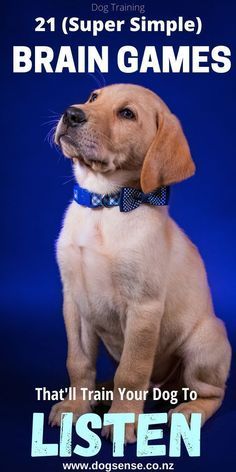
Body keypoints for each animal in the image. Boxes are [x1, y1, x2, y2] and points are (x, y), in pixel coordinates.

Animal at [48, 83, 231, 440]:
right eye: (93, 97)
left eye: (127, 114)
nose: (71, 113)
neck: (103, 204)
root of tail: (165, 386)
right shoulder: (74, 300)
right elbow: (78, 362)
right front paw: (76, 407)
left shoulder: (143, 307)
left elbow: (131, 373)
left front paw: (121, 421)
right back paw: (102, 392)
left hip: (204, 344)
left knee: (213, 393)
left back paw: (189, 412)